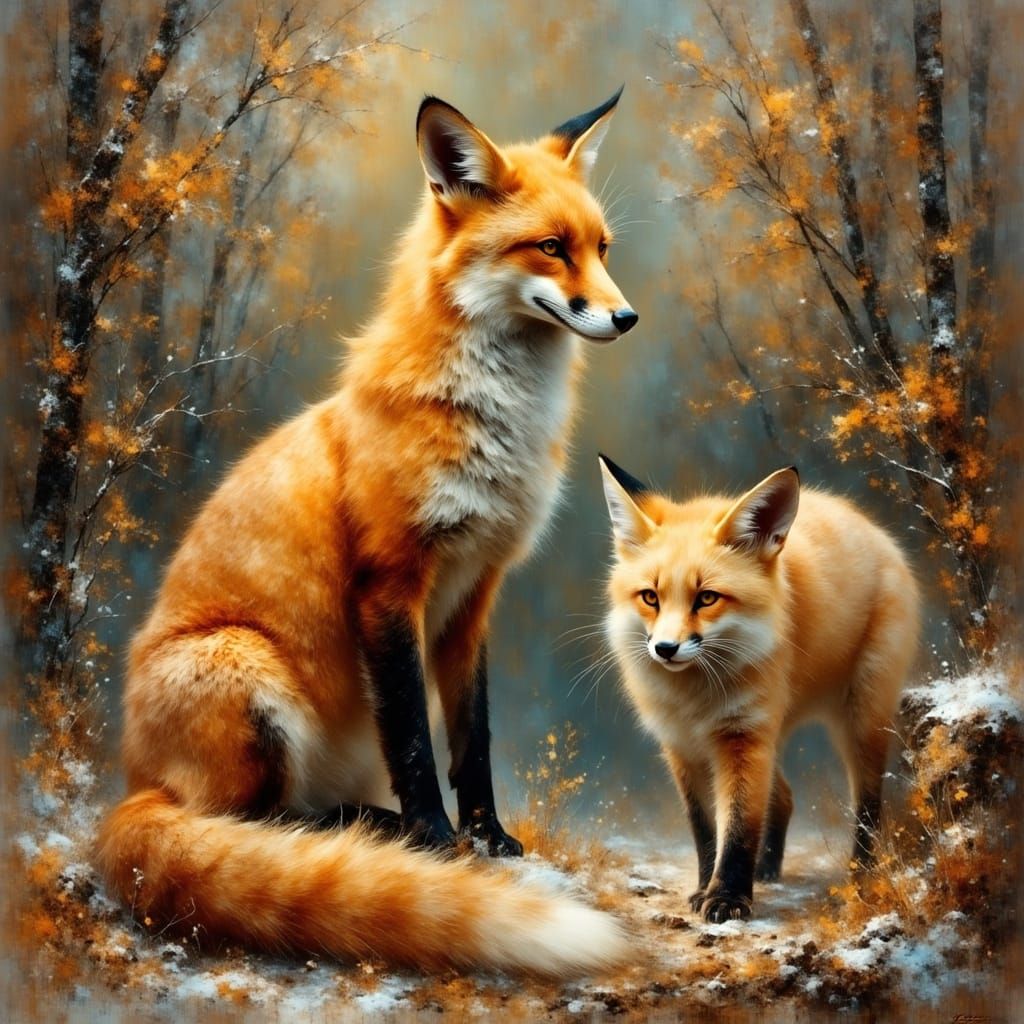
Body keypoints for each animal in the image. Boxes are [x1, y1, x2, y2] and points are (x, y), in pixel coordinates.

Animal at [94, 91, 640, 975]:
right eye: (552, 249)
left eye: (601, 248)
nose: (626, 316)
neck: (494, 427)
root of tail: (134, 781)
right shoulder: (388, 585)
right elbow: (413, 738)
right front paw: (435, 841)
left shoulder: (473, 594)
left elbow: (472, 738)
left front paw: (487, 836)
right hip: (248, 672)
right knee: (250, 825)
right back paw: (369, 834)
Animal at [599, 456, 919, 923]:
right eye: (650, 597)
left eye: (707, 598)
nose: (665, 649)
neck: (695, 700)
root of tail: (872, 529)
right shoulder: (683, 747)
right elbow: (706, 829)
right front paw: (706, 888)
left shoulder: (742, 737)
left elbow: (736, 830)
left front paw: (728, 899)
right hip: (777, 728)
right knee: (783, 796)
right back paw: (768, 869)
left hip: (861, 723)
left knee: (867, 805)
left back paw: (861, 874)